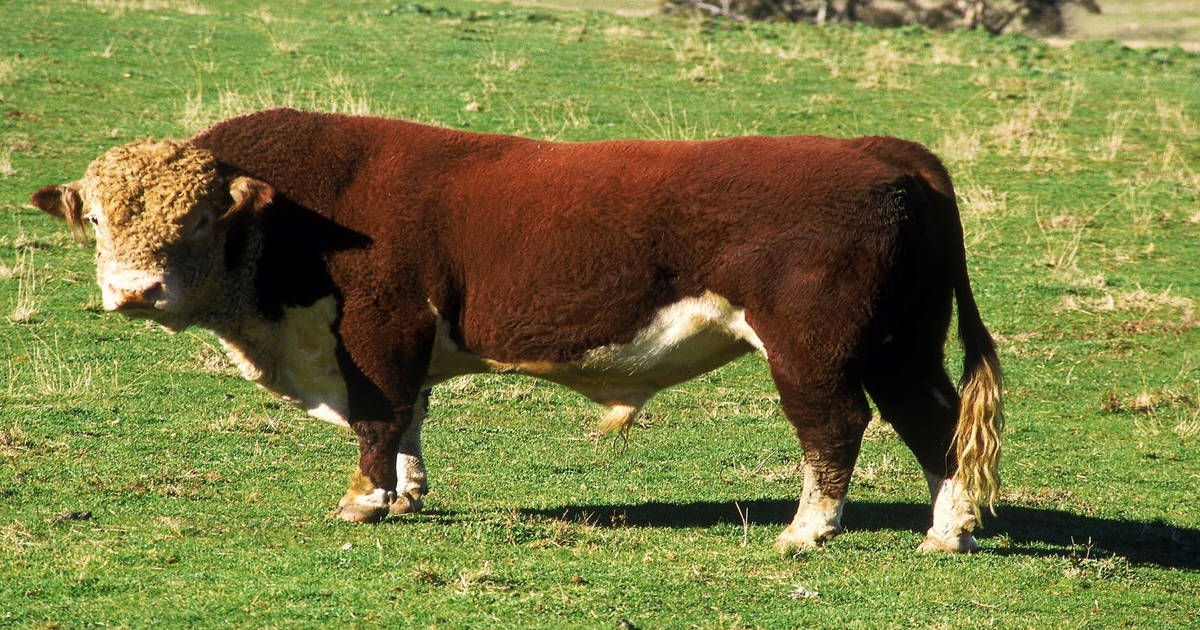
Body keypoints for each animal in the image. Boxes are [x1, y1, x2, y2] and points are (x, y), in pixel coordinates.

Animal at [30, 108, 1002, 553]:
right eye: (97, 221)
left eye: (196, 220)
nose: (133, 291)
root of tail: (877, 149)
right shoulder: (402, 348)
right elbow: (411, 417)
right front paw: (408, 492)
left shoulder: (377, 330)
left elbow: (378, 418)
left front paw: (364, 502)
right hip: (902, 345)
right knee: (934, 425)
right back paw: (946, 531)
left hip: (813, 350)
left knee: (836, 427)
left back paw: (806, 532)